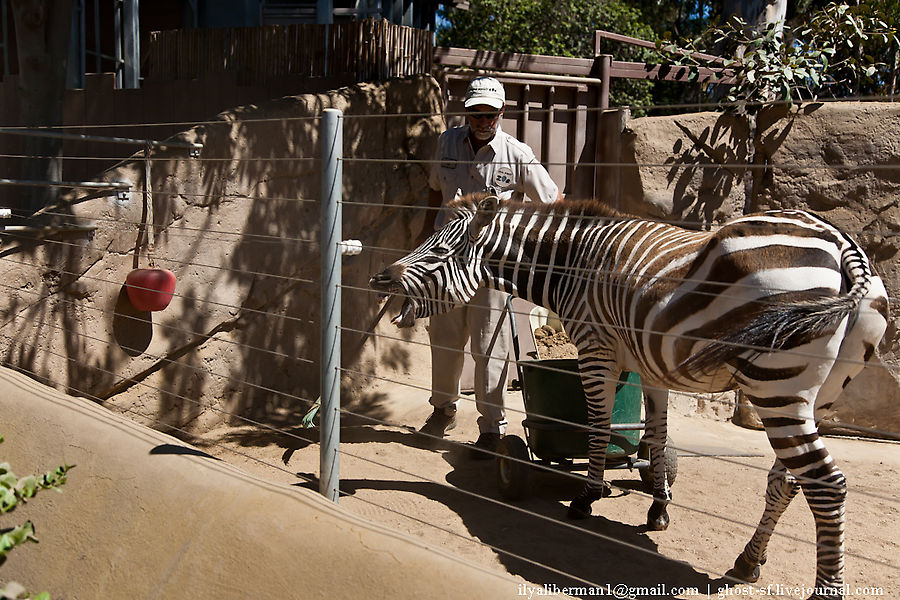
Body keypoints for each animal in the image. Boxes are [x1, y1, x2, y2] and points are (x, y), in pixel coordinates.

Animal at [370, 191, 888, 596]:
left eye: (439, 252)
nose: (379, 278)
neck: (575, 267)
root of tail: (844, 244)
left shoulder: (596, 350)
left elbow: (598, 427)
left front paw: (586, 496)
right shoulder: (650, 366)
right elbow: (656, 437)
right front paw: (658, 509)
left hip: (776, 386)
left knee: (827, 483)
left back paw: (823, 590)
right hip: (813, 395)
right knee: (788, 480)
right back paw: (747, 561)